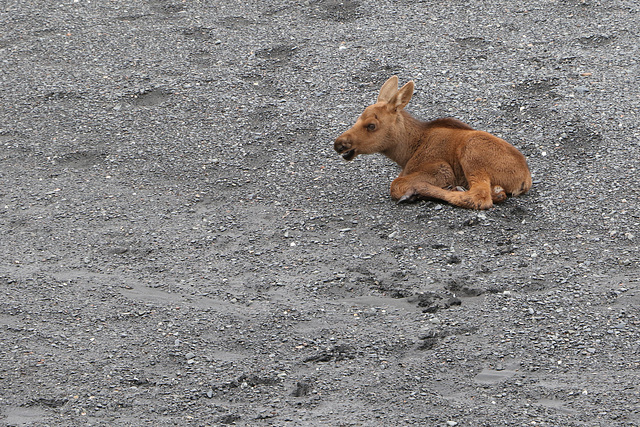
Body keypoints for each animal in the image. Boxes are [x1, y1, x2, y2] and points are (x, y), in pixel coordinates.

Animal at [332, 77, 532, 211]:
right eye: (358, 119)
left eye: (371, 125)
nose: (339, 144)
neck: (406, 152)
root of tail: (525, 179)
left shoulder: (441, 168)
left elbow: (395, 184)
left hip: (472, 153)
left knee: (479, 197)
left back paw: (421, 191)